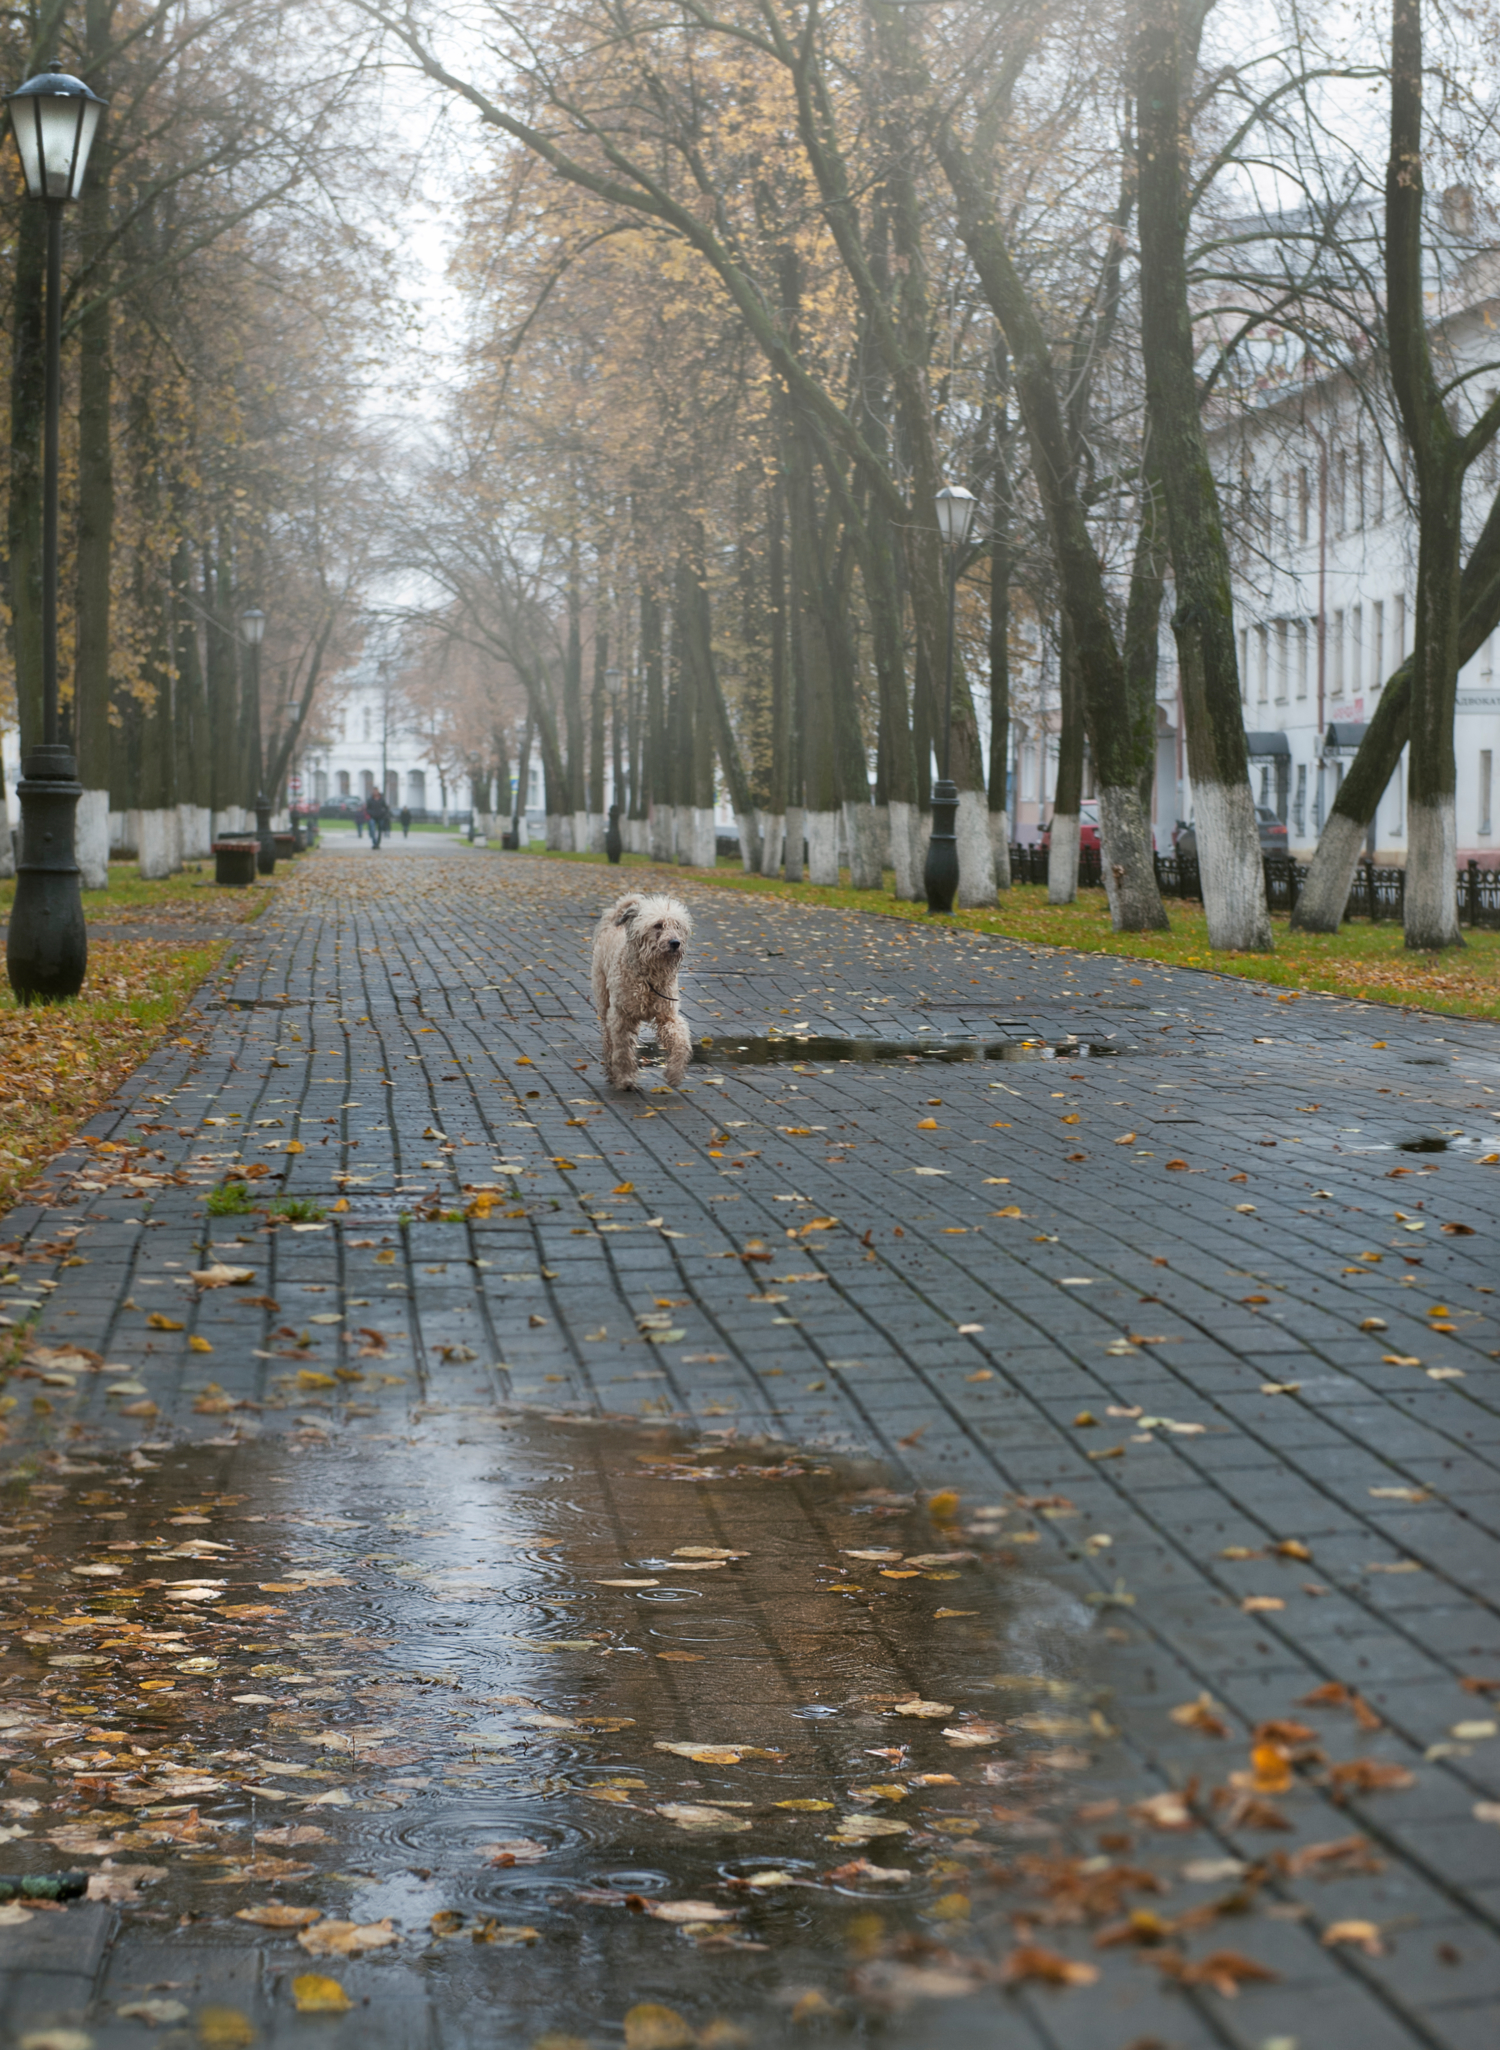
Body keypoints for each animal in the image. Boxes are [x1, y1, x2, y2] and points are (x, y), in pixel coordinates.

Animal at [590, 893, 696, 1090]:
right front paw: (625, 1079)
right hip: (604, 1001)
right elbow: (623, 1051)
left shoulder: (667, 1015)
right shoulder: (621, 1016)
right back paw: (611, 1070)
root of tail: (610, 926)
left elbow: (680, 1042)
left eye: (677, 925)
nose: (675, 943)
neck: (649, 975)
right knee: (608, 1040)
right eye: (658, 925)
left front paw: (675, 1073)